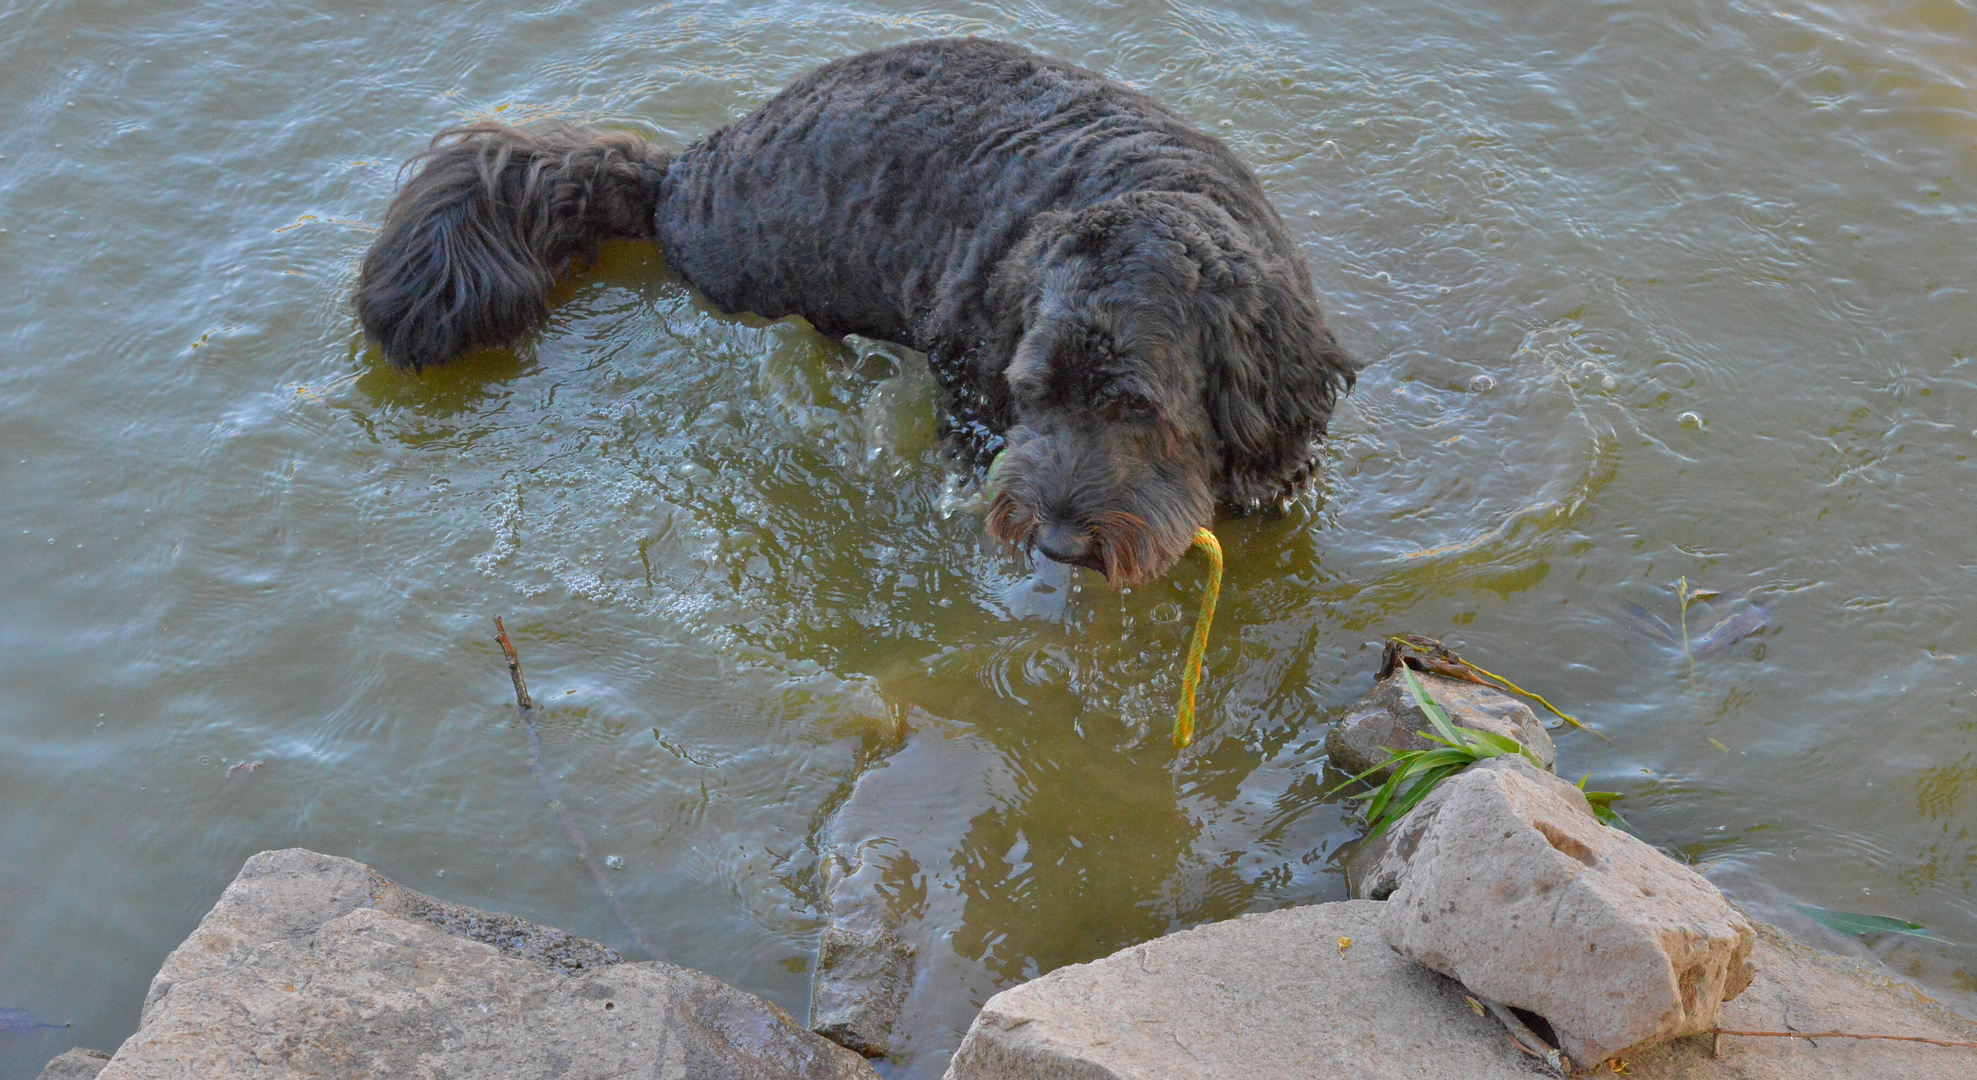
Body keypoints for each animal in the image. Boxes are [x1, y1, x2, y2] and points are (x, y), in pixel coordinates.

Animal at [355, 37, 1360, 585]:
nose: (1058, 544)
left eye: (1133, 406)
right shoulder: (973, 390)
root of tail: (678, 175)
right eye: (1032, 394)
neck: (1138, 183)